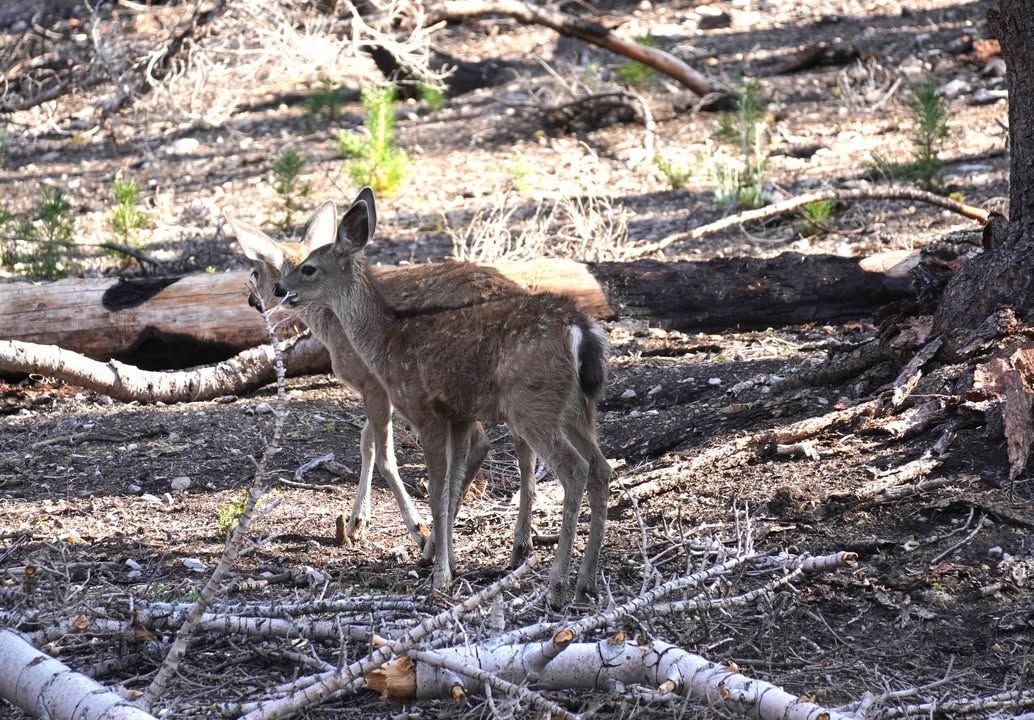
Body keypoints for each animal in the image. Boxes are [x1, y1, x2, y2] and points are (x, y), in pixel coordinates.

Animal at [227, 201, 529, 552]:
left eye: (255, 273)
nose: (257, 299)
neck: (332, 325)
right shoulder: (379, 387)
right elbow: (366, 441)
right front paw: (357, 522)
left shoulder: (374, 381)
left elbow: (383, 454)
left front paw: (416, 526)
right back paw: (519, 540)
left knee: (485, 442)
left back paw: (439, 539)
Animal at [274, 188, 611, 606]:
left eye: (308, 268)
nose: (279, 290)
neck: (386, 340)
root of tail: (582, 330)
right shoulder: (459, 414)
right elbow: (452, 488)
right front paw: (445, 563)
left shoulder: (424, 409)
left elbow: (436, 492)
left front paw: (440, 576)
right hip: (579, 407)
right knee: (601, 467)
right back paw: (587, 580)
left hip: (533, 402)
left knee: (574, 468)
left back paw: (558, 583)